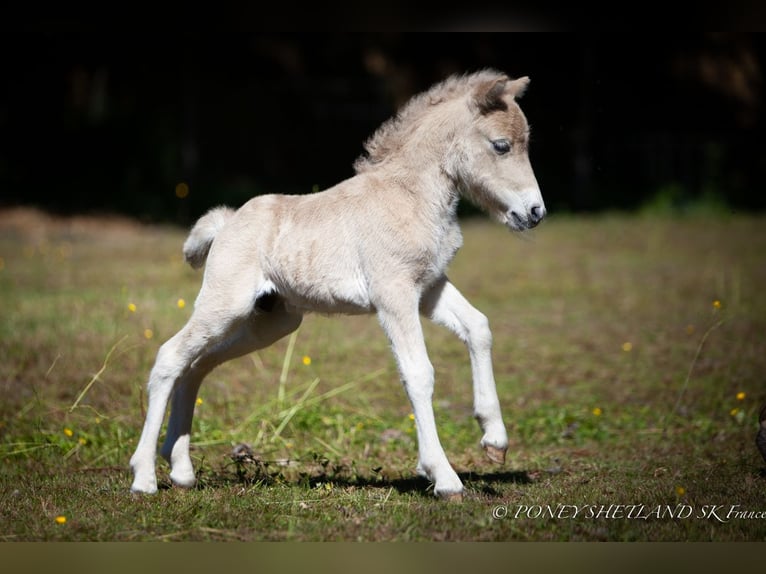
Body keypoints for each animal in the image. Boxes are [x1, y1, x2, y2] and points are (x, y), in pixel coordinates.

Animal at [130, 70, 544, 502]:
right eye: (501, 145)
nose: (535, 212)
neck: (409, 196)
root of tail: (226, 223)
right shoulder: (394, 293)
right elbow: (418, 372)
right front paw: (443, 476)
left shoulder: (429, 287)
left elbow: (478, 326)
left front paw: (494, 441)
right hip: (224, 304)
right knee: (170, 357)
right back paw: (144, 477)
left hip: (270, 321)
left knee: (197, 365)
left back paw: (180, 469)